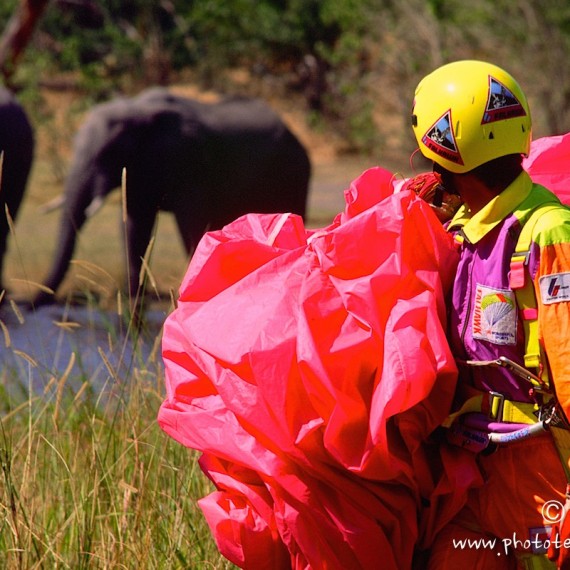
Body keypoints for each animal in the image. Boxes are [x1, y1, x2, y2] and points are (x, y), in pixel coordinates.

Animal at [33, 87, 310, 306]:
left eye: (106, 152)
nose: (35, 303)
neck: (138, 110)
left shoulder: (187, 160)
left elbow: (191, 224)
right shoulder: (139, 170)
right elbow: (135, 226)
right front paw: (135, 301)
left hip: (293, 176)